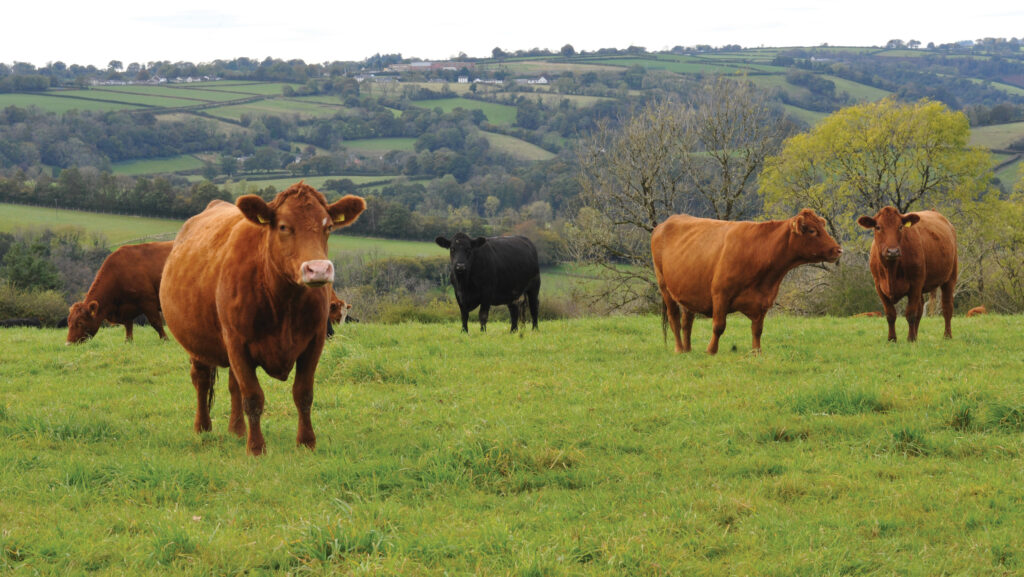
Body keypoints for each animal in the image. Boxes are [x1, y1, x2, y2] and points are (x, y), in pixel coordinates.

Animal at [159, 184, 368, 457]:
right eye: (283, 226)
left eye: (329, 226)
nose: (318, 269)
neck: (284, 301)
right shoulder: (236, 343)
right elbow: (253, 396)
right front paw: (256, 447)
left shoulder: (314, 342)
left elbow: (303, 393)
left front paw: (306, 442)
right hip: (195, 343)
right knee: (201, 380)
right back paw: (203, 428)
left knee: (232, 385)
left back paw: (237, 430)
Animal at [651, 210, 843, 354]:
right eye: (812, 230)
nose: (838, 250)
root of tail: (664, 223)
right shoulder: (720, 293)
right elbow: (719, 326)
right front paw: (711, 351)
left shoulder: (763, 300)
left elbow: (757, 330)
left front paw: (756, 352)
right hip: (664, 286)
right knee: (674, 319)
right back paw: (679, 349)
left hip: (687, 290)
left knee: (687, 321)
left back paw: (688, 349)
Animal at [860, 208, 954, 342]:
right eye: (878, 227)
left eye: (900, 227)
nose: (893, 251)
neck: (891, 269)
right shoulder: (879, 286)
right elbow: (890, 314)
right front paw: (892, 339)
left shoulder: (915, 284)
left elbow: (910, 314)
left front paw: (910, 339)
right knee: (920, 308)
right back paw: (917, 335)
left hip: (950, 277)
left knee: (947, 307)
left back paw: (947, 336)